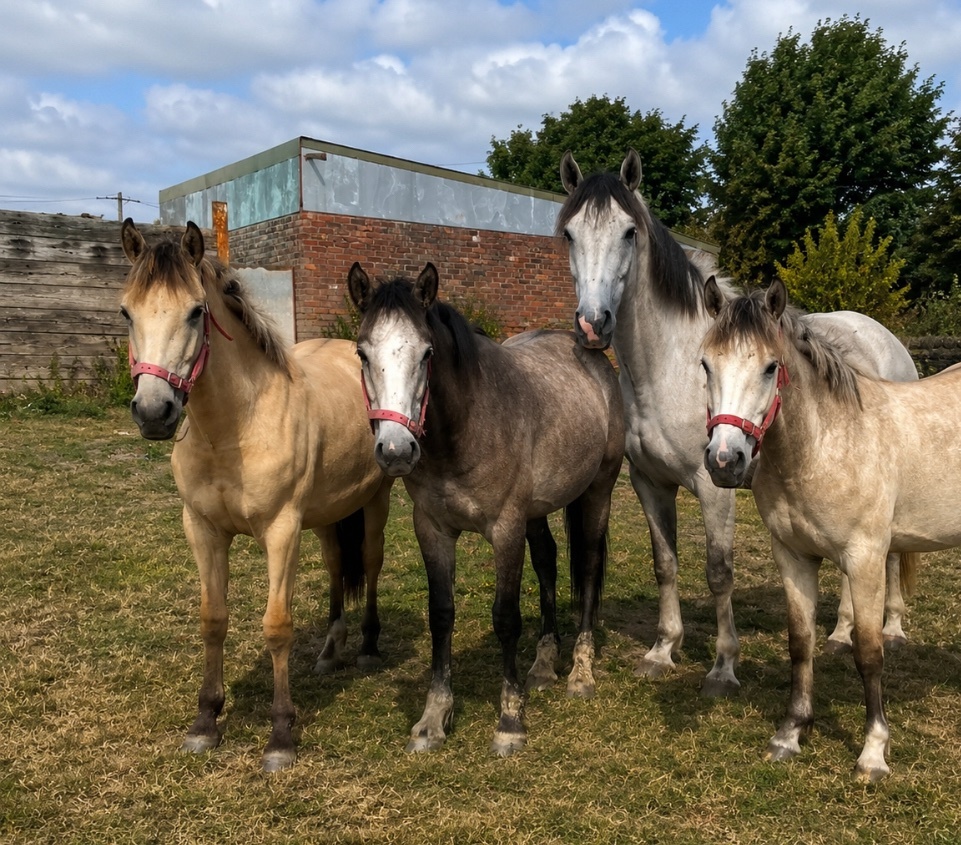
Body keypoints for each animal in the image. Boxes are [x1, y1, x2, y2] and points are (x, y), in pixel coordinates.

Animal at [119, 219, 394, 771]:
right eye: (126, 312)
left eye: (195, 311)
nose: (154, 413)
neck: (235, 427)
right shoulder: (202, 530)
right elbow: (213, 619)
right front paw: (205, 721)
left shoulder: (282, 532)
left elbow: (277, 627)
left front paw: (281, 735)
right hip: (326, 515)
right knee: (337, 568)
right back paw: (329, 653)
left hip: (375, 503)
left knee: (371, 564)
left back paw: (368, 647)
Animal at [346, 262, 624, 755]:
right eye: (362, 353)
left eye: (427, 353)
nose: (396, 451)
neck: (466, 425)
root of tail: (593, 360)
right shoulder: (432, 529)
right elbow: (441, 615)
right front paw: (433, 718)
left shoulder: (505, 529)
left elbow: (506, 617)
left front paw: (510, 721)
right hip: (537, 512)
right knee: (549, 561)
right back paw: (544, 664)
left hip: (597, 493)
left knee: (589, 567)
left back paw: (581, 671)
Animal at [556, 149, 919, 695]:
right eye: (570, 234)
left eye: (629, 232)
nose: (592, 324)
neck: (670, 367)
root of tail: (888, 339)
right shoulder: (648, 482)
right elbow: (666, 564)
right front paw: (662, 650)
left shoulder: (715, 484)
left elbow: (718, 572)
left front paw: (723, 667)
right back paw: (840, 633)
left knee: (892, 555)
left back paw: (892, 629)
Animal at [699, 277, 954, 781]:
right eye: (705, 364)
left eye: (770, 367)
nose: (724, 461)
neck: (823, 444)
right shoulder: (793, 556)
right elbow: (801, 643)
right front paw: (791, 733)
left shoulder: (866, 558)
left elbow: (869, 653)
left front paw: (873, 753)